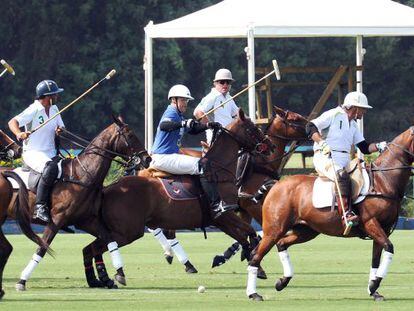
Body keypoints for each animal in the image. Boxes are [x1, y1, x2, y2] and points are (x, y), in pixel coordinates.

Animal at [15, 117, 153, 292]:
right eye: (130, 135)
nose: (147, 159)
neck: (82, 175)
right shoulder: (57, 219)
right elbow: (42, 247)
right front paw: (22, 281)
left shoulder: (87, 219)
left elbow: (109, 240)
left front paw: (119, 273)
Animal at [77, 109, 276, 288]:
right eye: (252, 128)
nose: (271, 145)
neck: (221, 170)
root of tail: (107, 188)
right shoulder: (224, 214)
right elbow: (250, 233)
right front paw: (256, 266)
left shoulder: (220, 220)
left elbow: (245, 237)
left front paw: (253, 265)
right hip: (128, 231)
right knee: (99, 247)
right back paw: (114, 275)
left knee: (90, 249)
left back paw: (101, 278)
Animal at [246, 126, 414, 302]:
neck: (383, 180)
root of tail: (276, 185)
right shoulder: (371, 222)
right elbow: (389, 247)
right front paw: (373, 285)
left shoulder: (384, 229)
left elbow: (376, 259)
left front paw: (373, 290)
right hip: (274, 229)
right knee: (256, 255)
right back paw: (253, 294)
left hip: (306, 231)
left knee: (281, 244)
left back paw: (282, 282)